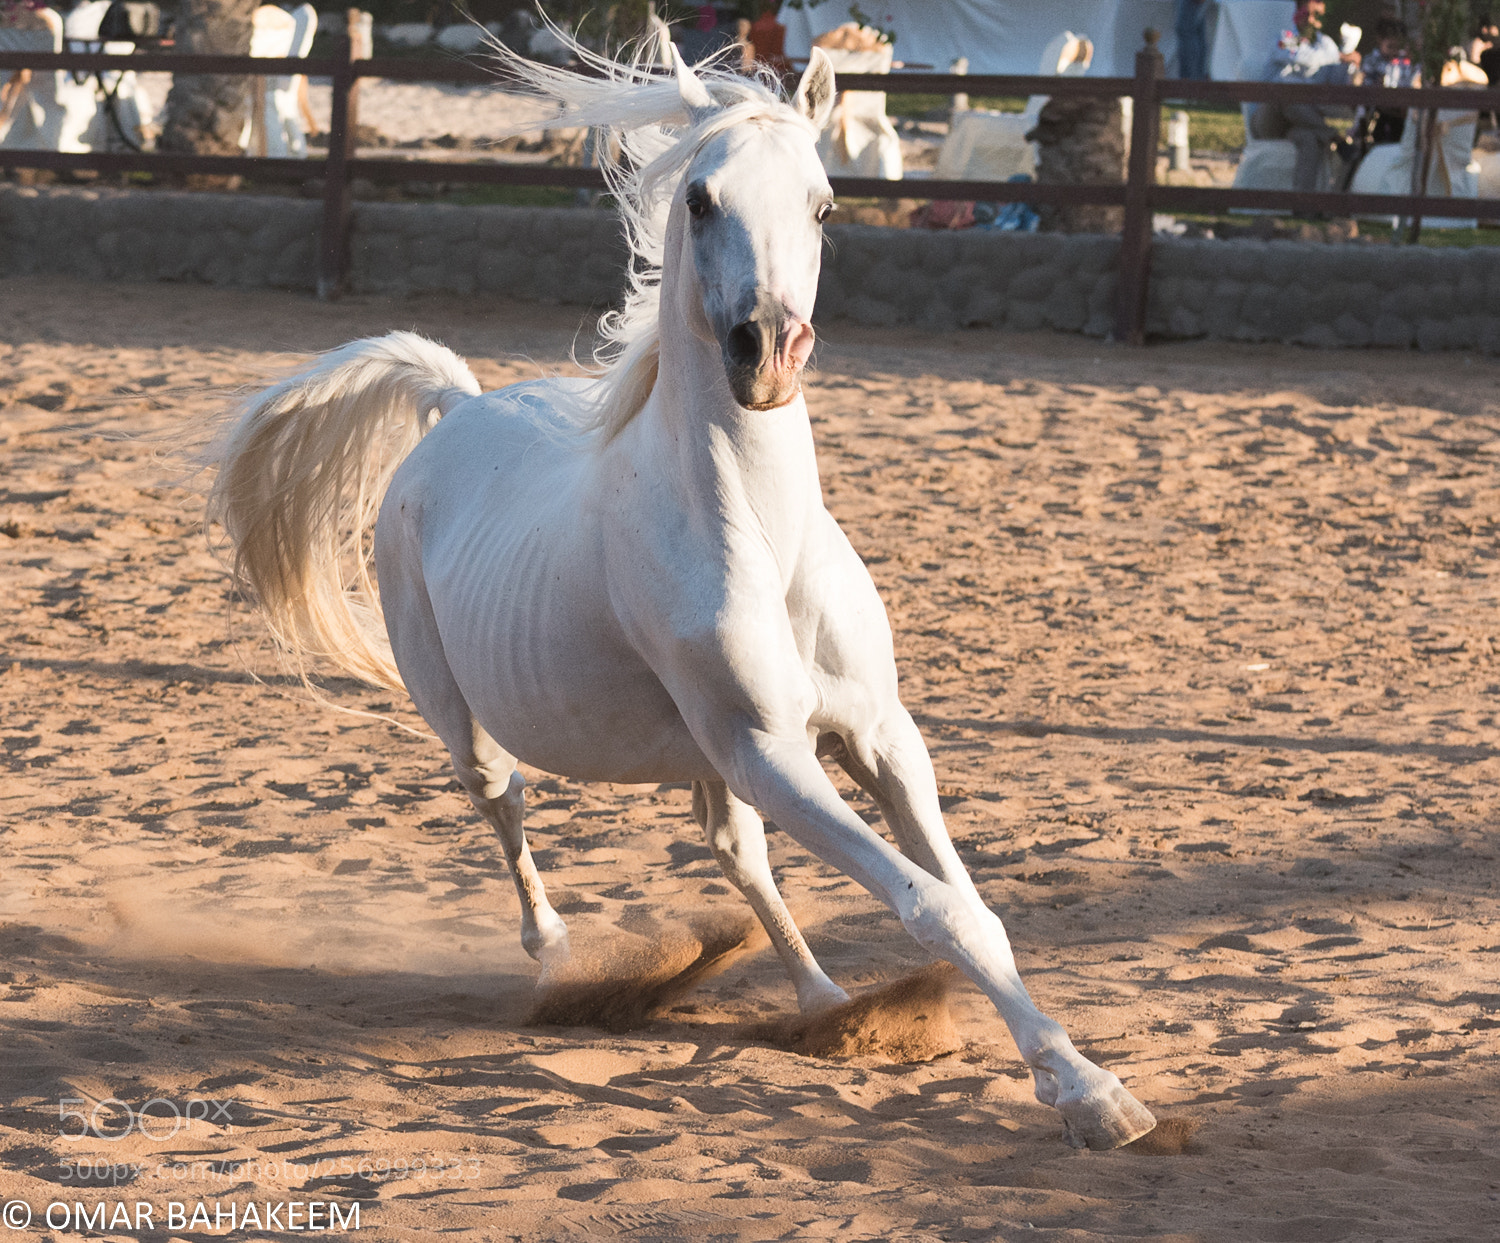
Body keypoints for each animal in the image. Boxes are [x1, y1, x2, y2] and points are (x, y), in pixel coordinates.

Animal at [203, 32, 1155, 1151]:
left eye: (824, 203)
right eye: (700, 199)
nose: (767, 350)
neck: (760, 542)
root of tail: (454, 411)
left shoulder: (876, 733)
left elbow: (970, 902)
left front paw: (1084, 1078)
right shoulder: (772, 751)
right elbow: (934, 905)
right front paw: (1091, 1096)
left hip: (709, 756)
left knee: (735, 853)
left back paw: (824, 1001)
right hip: (475, 722)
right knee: (508, 803)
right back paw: (560, 955)